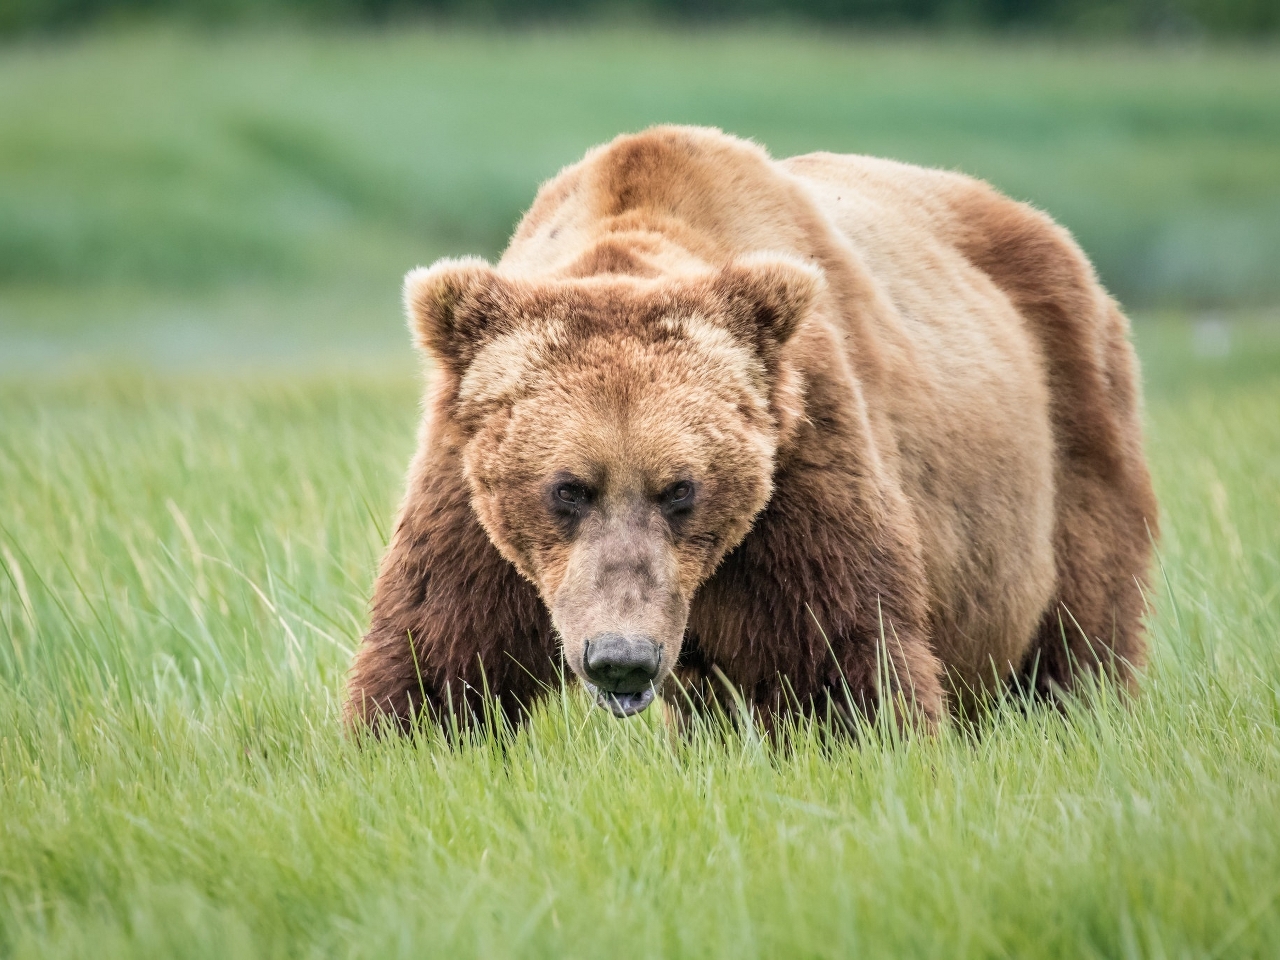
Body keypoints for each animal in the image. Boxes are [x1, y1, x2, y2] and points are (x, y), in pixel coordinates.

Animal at [343, 124, 1162, 732]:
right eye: (567, 488)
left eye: (681, 488)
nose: (621, 658)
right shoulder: (467, 489)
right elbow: (438, 649)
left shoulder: (802, 452)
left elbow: (839, 649)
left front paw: (869, 736)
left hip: (1070, 432)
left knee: (1079, 629)